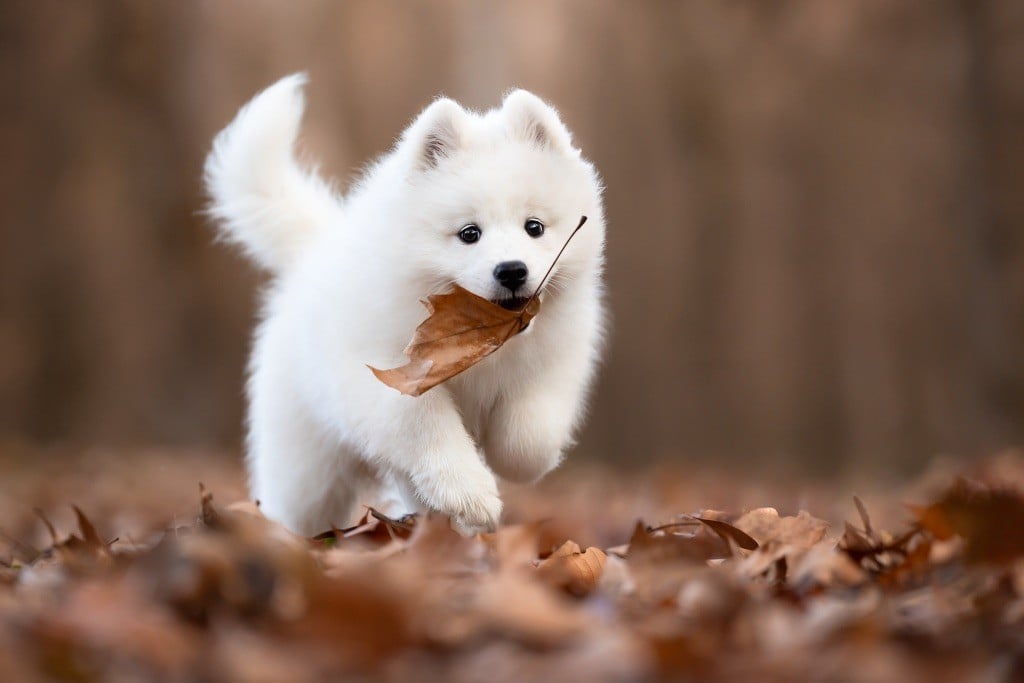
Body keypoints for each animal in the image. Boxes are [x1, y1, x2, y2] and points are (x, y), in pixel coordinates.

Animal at [208, 74, 606, 532]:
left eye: (534, 227)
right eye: (469, 233)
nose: (511, 271)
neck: (481, 334)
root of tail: (312, 254)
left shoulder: (556, 360)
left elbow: (531, 431)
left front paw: (508, 462)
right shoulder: (385, 376)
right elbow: (428, 427)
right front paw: (471, 493)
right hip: (306, 462)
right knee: (299, 504)